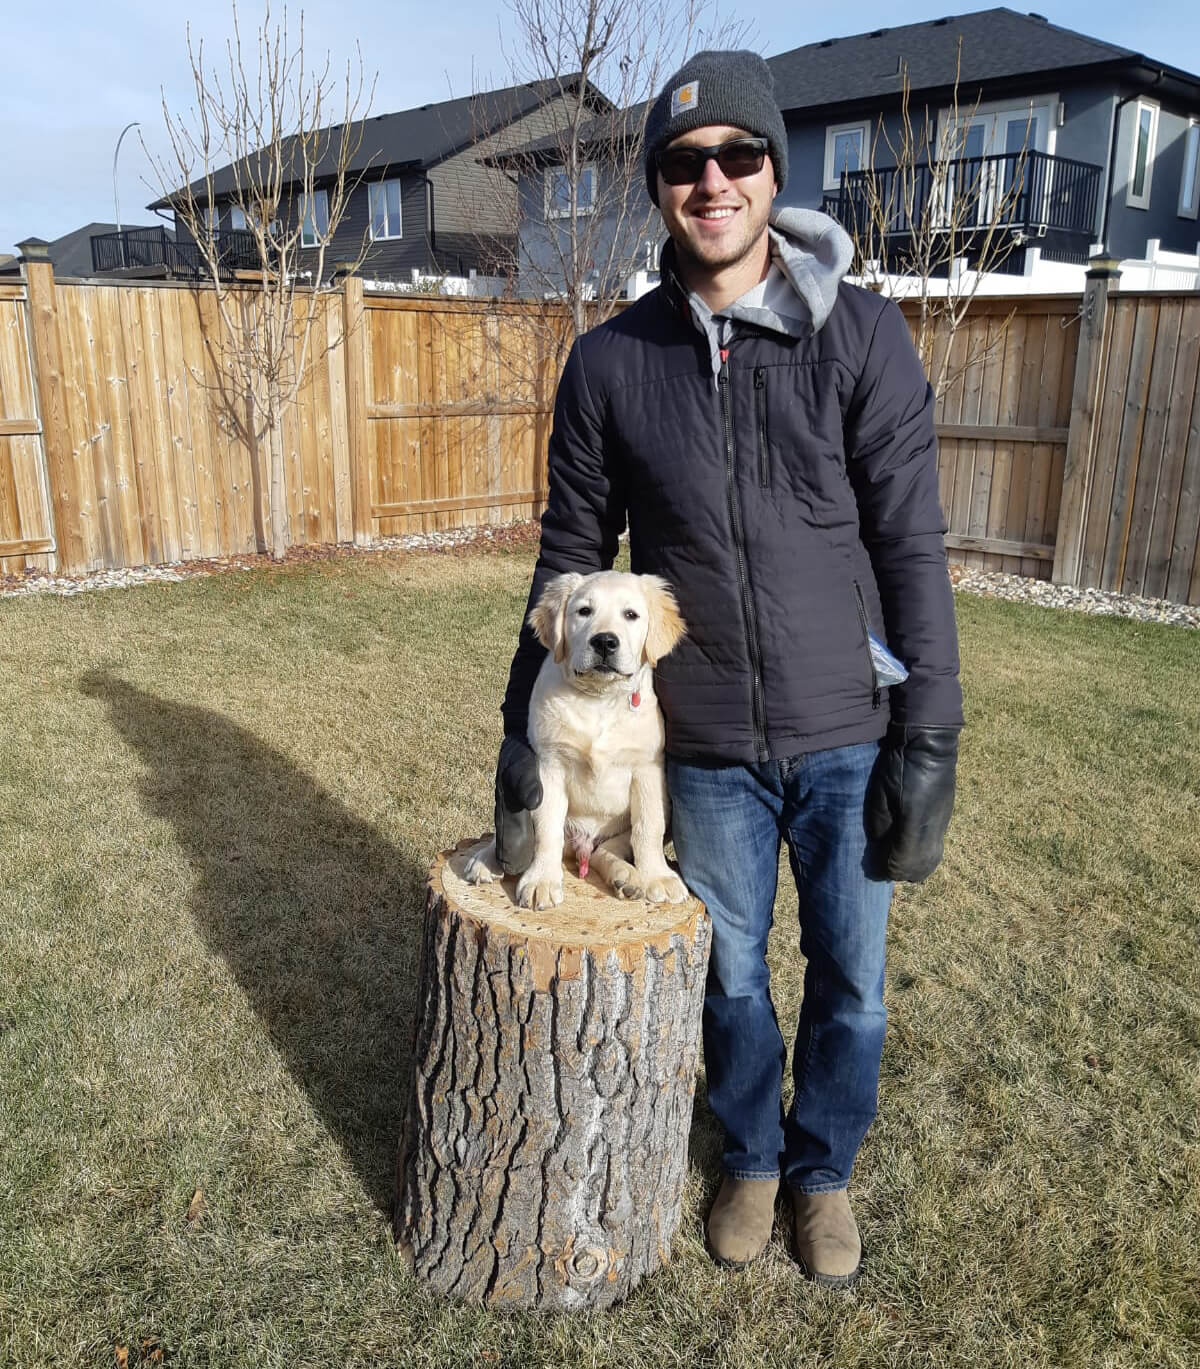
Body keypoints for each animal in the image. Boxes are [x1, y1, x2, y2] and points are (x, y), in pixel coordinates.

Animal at [467, 566, 692, 909]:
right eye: (584, 611)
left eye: (631, 615)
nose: (605, 642)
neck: (599, 699)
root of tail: (581, 846)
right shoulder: (549, 767)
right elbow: (546, 830)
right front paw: (541, 881)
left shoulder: (648, 770)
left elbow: (648, 828)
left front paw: (657, 876)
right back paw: (486, 859)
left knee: (607, 849)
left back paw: (625, 877)